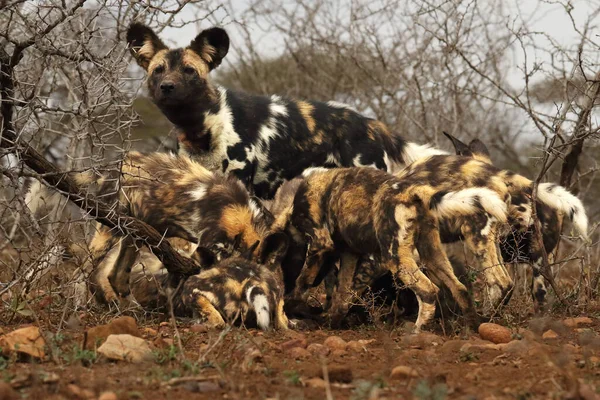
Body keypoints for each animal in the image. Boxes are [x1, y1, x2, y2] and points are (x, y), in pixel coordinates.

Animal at [71, 152, 288, 304]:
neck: (240, 218)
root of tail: (110, 168)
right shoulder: (210, 248)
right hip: (111, 230)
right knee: (80, 273)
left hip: (136, 233)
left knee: (117, 277)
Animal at [126, 22, 446, 198]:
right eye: (158, 70)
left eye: (189, 71)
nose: (167, 87)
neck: (201, 126)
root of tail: (371, 123)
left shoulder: (240, 180)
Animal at [272, 166, 510, 332]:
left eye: (288, 258)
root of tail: (413, 191)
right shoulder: (349, 253)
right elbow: (344, 293)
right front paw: (332, 321)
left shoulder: (320, 244)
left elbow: (303, 282)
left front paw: (291, 305)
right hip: (432, 255)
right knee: (460, 288)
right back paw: (474, 328)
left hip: (395, 257)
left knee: (428, 291)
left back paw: (417, 331)